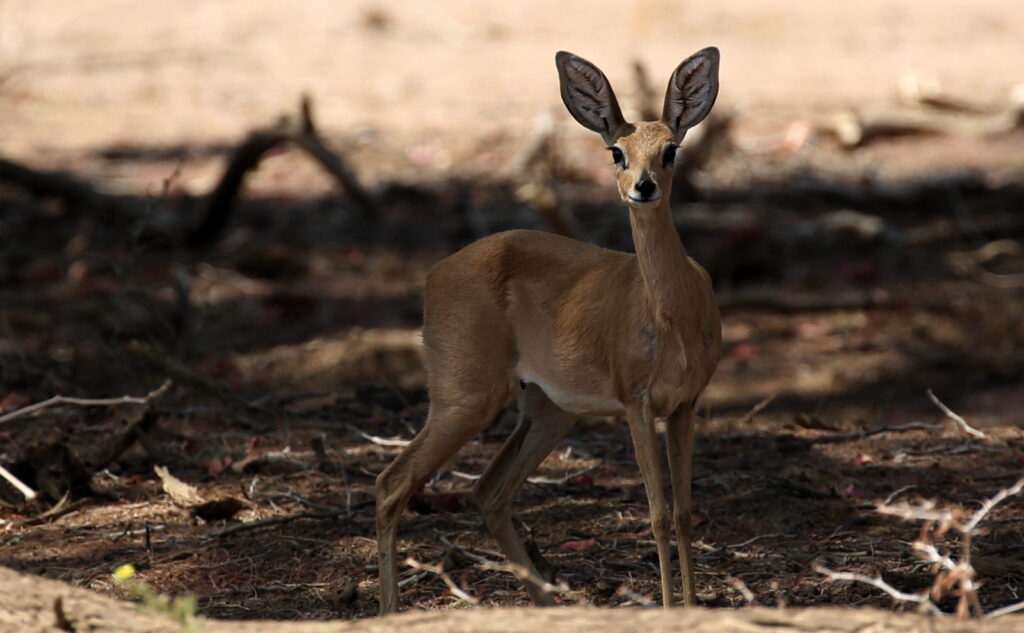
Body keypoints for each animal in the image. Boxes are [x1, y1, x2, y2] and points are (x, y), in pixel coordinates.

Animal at [374, 45, 720, 610]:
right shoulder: (637, 402)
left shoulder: (686, 405)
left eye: (670, 149)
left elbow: (687, 515)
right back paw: (389, 611)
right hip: (465, 398)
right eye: (617, 152)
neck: (672, 316)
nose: (643, 188)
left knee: (488, 491)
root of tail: (436, 273)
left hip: (549, 408)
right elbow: (657, 514)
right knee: (392, 483)